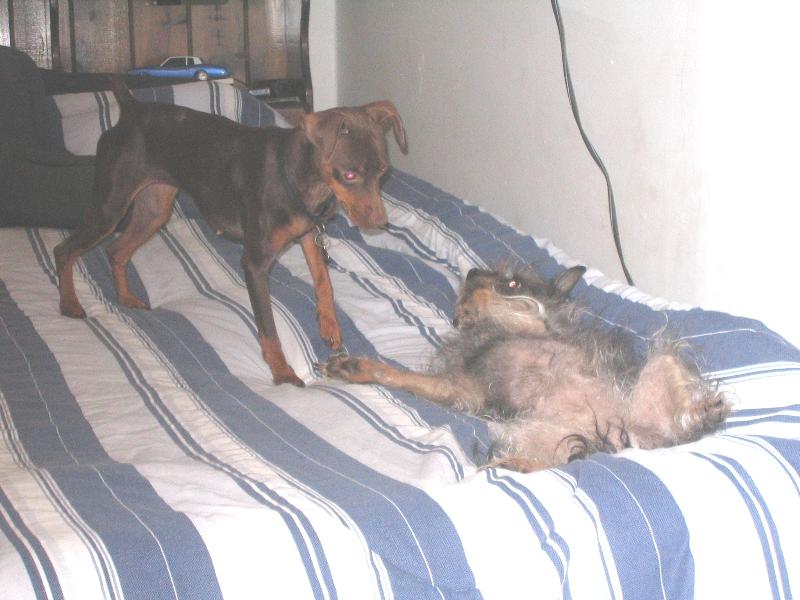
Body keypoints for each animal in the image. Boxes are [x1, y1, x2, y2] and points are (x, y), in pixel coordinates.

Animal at [54, 79, 406, 386]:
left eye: (383, 172)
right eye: (349, 174)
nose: (380, 223)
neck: (297, 177)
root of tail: (131, 108)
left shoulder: (309, 235)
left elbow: (324, 284)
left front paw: (329, 327)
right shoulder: (255, 263)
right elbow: (269, 328)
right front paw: (282, 372)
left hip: (154, 209)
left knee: (116, 251)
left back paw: (126, 297)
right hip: (110, 207)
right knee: (65, 250)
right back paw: (69, 304)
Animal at [322, 264, 729, 472]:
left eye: (513, 278)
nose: (471, 271)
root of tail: (621, 438)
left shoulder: (526, 329)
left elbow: (518, 306)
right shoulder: (461, 387)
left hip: (664, 358)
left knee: (679, 420)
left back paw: (702, 413)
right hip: (533, 433)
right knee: (552, 463)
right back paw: (512, 465)